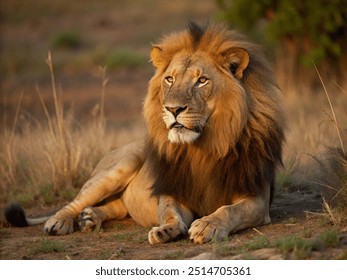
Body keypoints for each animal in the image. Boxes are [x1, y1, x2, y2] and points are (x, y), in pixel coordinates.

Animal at [3, 23, 286, 244]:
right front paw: (166, 229)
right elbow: (169, 211)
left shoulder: (258, 199)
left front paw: (208, 225)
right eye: (170, 79)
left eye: (201, 81)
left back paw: (90, 218)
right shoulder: (174, 190)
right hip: (120, 165)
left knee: (116, 207)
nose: (173, 109)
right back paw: (60, 222)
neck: (206, 146)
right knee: (75, 201)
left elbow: (230, 210)